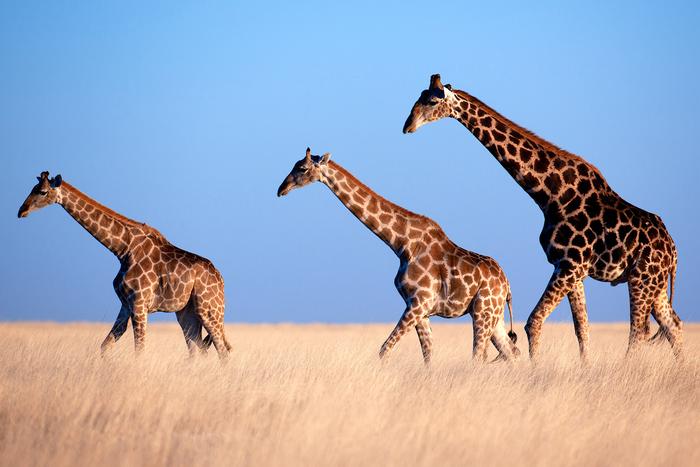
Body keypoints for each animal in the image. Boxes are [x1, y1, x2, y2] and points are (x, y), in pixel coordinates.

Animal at [17, 171, 231, 358]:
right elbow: (105, 346)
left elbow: (139, 351)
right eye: (33, 188)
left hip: (209, 310)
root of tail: (221, 279)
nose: (21, 211)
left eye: (42, 191)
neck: (122, 249)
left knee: (223, 350)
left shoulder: (139, 304)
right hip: (186, 313)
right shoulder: (125, 304)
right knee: (198, 350)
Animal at [276, 148, 516, 364]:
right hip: (494, 316)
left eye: (302, 168)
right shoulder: (420, 309)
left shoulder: (418, 303)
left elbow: (384, 349)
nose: (281, 189)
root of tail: (506, 285)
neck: (401, 244)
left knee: (479, 357)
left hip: (483, 311)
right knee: (510, 353)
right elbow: (428, 356)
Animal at [402, 74, 680, 362]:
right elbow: (582, 329)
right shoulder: (573, 270)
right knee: (673, 325)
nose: (407, 126)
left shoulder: (569, 265)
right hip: (656, 285)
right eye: (419, 97)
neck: (550, 196)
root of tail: (673, 253)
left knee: (638, 332)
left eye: (432, 101)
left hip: (641, 279)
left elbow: (533, 322)